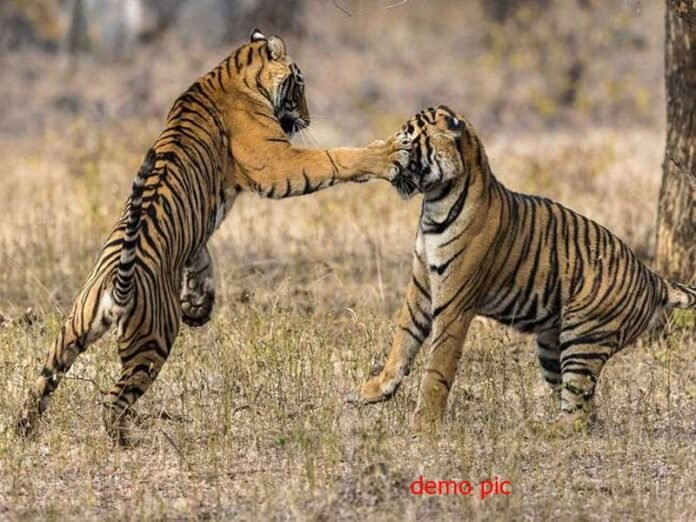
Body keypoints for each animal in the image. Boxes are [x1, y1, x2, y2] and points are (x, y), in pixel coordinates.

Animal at [16, 28, 411, 446]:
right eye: (300, 84)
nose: (304, 117)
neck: (233, 72)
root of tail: (115, 288)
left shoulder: (199, 233)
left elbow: (202, 260)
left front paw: (199, 305)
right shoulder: (276, 164)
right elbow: (333, 159)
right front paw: (386, 154)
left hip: (71, 331)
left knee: (43, 381)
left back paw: (25, 429)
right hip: (152, 342)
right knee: (113, 402)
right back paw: (127, 440)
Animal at [356, 105, 695, 433]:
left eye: (407, 140)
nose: (386, 156)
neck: (435, 201)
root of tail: (652, 277)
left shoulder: (454, 302)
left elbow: (437, 365)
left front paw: (424, 425)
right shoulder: (422, 283)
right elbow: (404, 336)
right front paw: (374, 389)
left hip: (583, 339)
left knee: (578, 414)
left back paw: (538, 430)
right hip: (551, 347)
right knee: (584, 409)